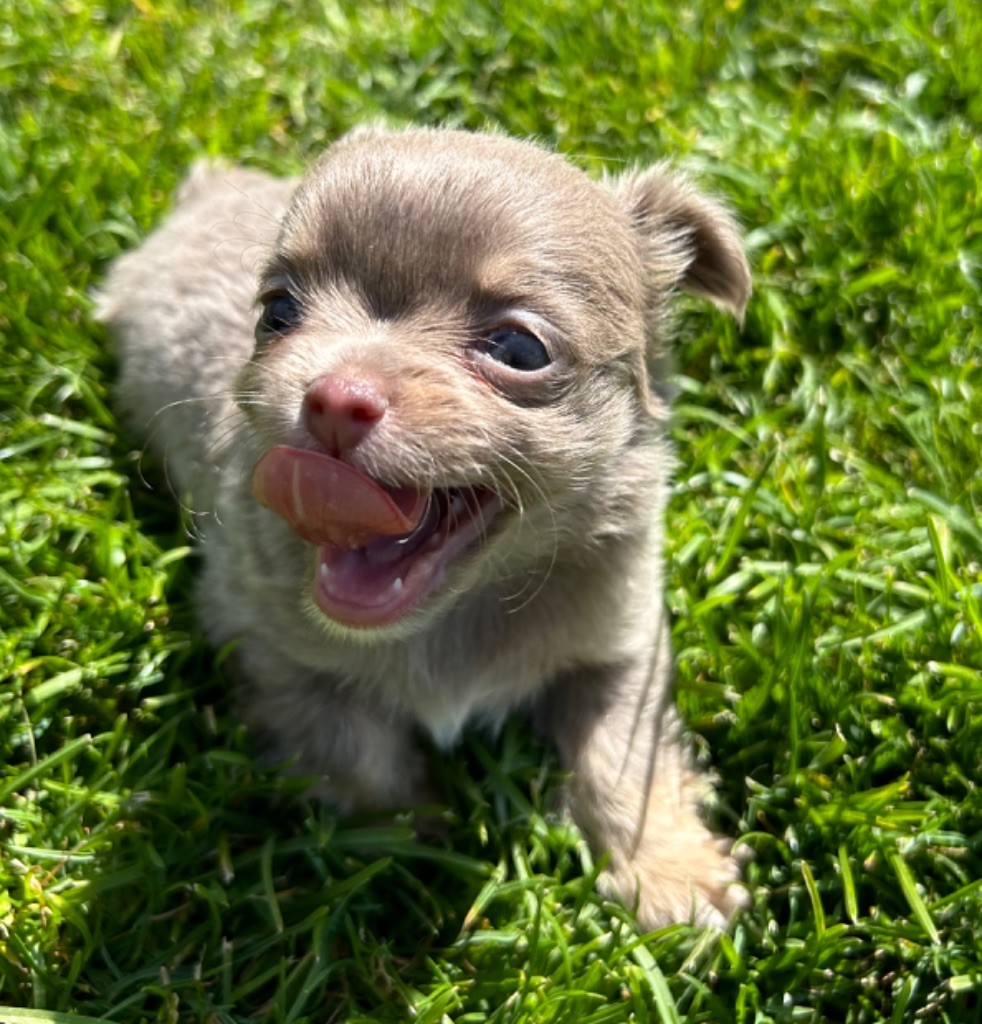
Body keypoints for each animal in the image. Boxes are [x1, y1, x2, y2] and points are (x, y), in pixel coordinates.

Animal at [98, 125, 751, 929]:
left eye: (519, 350)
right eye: (278, 312)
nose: (334, 398)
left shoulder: (621, 646)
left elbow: (623, 761)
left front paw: (670, 875)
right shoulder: (268, 648)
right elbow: (357, 753)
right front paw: (414, 850)